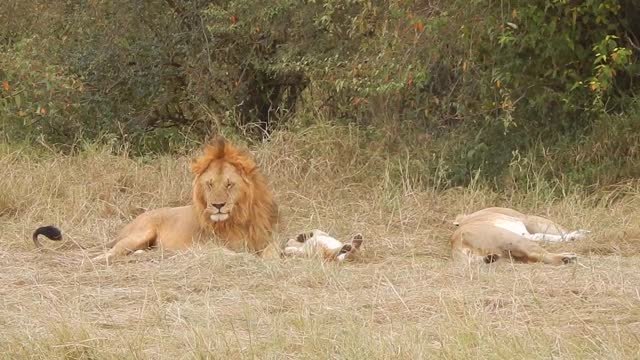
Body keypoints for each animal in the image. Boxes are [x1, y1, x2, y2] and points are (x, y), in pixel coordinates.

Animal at [31, 138, 278, 262]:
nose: (217, 206)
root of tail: (123, 229)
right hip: (140, 233)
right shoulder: (205, 246)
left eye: (229, 184)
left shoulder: (264, 239)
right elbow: (230, 252)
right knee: (105, 254)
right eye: (209, 184)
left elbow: (271, 249)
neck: (238, 218)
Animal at [450, 208, 592, 264]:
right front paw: (579, 234)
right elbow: (559, 232)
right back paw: (568, 257)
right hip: (512, 237)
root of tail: (455, 243)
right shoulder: (527, 220)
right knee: (538, 254)